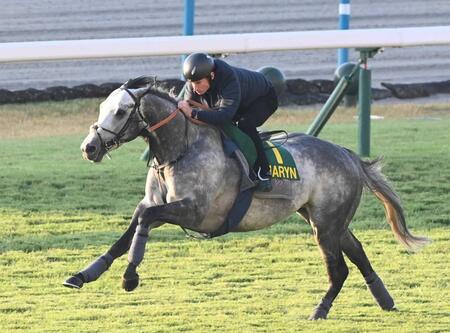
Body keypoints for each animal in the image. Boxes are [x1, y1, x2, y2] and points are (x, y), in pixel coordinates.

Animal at [64, 77, 428, 320]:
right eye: (102, 107)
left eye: (122, 111)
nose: (89, 148)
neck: (181, 148)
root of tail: (348, 155)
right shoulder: (155, 203)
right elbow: (130, 229)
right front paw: (84, 274)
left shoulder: (195, 212)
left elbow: (145, 221)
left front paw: (130, 277)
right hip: (325, 218)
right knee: (358, 252)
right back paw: (385, 299)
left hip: (326, 225)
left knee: (338, 270)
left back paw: (320, 310)